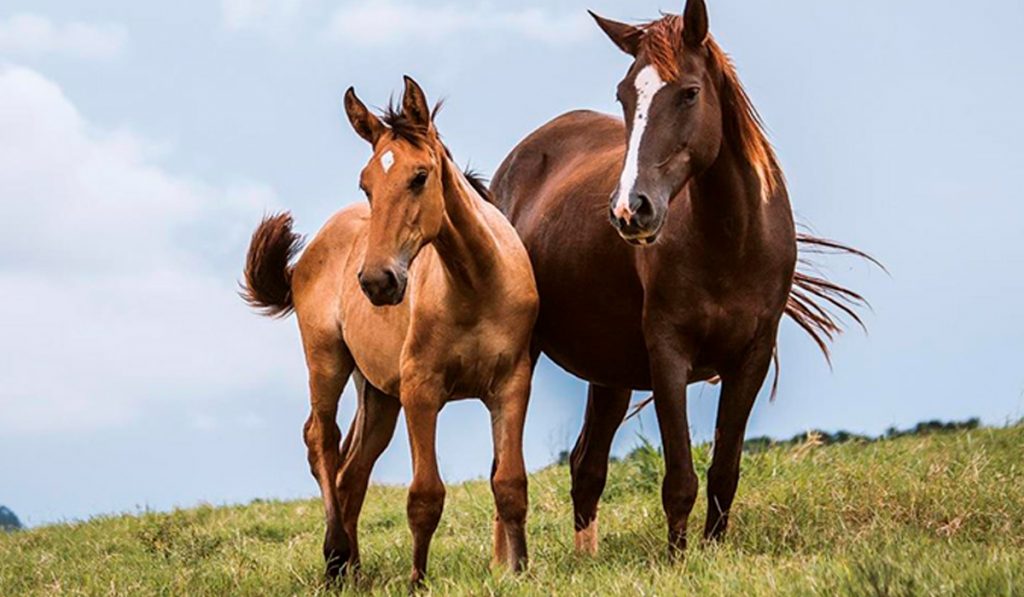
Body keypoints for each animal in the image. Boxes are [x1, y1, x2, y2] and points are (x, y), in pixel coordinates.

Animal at [242, 75, 540, 585]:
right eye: (366, 183)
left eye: (419, 176)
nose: (377, 281)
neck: (475, 284)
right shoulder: (422, 391)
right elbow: (425, 496)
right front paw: (418, 580)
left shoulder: (511, 385)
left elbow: (509, 483)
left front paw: (517, 570)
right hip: (327, 359)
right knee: (321, 440)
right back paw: (336, 556)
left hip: (378, 393)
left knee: (353, 468)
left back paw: (352, 569)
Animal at [491, 1, 876, 561]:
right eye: (624, 95)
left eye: (690, 92)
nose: (630, 210)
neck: (730, 241)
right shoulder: (668, 356)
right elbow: (680, 480)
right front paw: (677, 561)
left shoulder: (752, 358)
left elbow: (724, 471)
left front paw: (713, 551)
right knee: (510, 464)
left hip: (610, 375)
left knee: (586, 466)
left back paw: (587, 559)